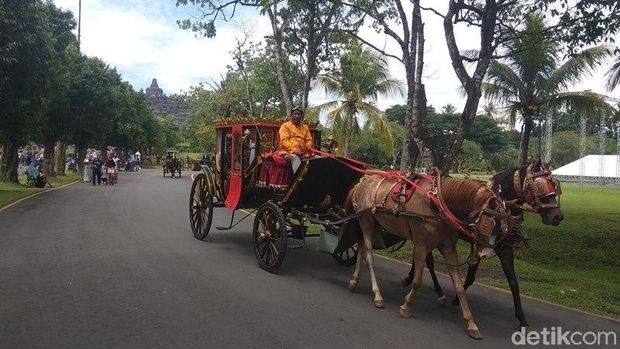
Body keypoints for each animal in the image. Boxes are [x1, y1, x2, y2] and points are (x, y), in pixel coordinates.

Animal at [346, 174, 516, 338]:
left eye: (504, 225)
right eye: (489, 223)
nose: (487, 253)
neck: (438, 204)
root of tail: (361, 183)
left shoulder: (448, 249)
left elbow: (459, 286)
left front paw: (471, 323)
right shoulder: (421, 245)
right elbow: (417, 281)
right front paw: (407, 306)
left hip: (374, 223)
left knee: (361, 249)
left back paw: (354, 281)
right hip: (366, 220)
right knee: (368, 256)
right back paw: (377, 295)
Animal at [402, 160, 560, 326]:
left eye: (554, 185)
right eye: (539, 185)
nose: (557, 217)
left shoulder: (504, 248)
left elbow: (513, 282)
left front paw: (521, 317)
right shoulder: (477, 244)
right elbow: (470, 278)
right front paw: (456, 301)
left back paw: (412, 278)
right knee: (428, 261)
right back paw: (435, 290)